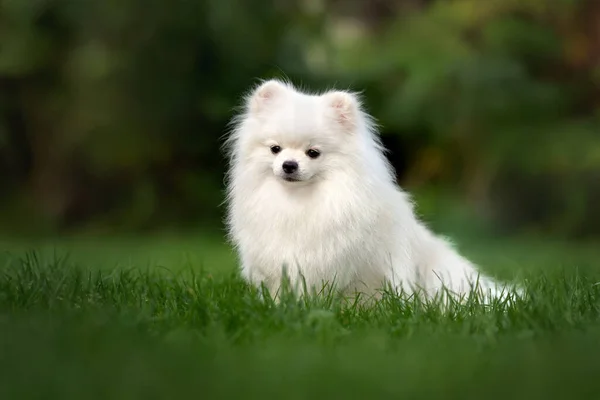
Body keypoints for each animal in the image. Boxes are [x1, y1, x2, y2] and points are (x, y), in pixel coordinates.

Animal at [225, 79, 520, 304]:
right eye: (275, 149)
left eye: (313, 153)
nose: (289, 165)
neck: (300, 201)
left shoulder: (362, 266)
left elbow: (360, 295)